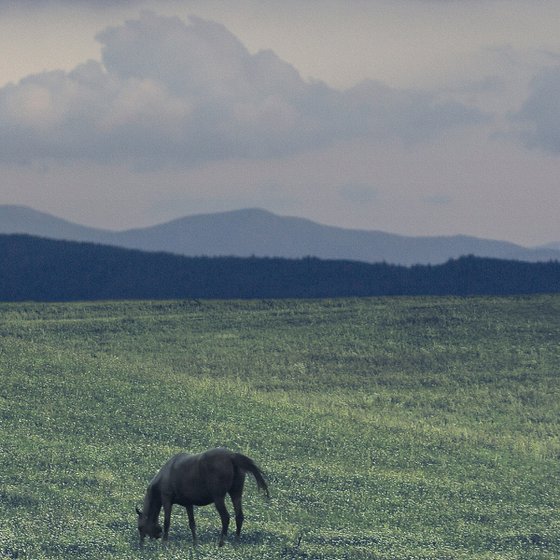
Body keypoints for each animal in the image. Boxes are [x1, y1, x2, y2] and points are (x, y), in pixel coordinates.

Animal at [135, 450, 268, 548]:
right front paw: (195, 543)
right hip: (236, 494)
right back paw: (236, 542)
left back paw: (221, 543)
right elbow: (192, 523)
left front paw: (164, 543)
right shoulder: (188, 504)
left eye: (140, 527)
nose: (140, 544)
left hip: (219, 498)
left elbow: (167, 521)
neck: (166, 474)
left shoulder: (167, 499)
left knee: (225, 518)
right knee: (239, 516)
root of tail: (231, 456)